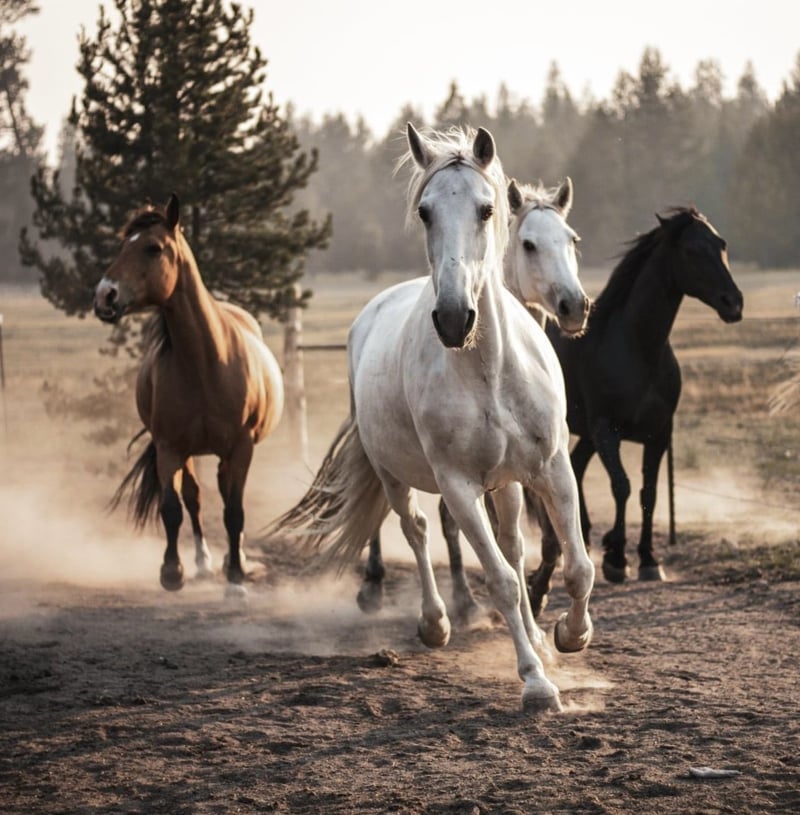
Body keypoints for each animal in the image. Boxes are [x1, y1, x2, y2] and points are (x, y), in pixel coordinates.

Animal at [93, 194, 284, 598]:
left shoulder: (241, 448)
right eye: (122, 244)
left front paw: (236, 580)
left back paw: (234, 559)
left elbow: (234, 512)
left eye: (152, 248)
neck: (206, 362)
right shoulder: (169, 447)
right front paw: (172, 571)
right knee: (195, 498)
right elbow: (173, 508)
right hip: (189, 453)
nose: (104, 295)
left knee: (227, 497)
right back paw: (203, 561)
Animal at [356, 176, 590, 624]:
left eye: (572, 239)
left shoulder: (528, 469)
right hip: (384, 460)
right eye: (529, 244)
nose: (575, 306)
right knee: (398, 518)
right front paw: (479, 600)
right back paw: (380, 589)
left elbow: (525, 538)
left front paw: (537, 598)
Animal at [527, 207, 743, 616]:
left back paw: (585, 536)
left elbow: (649, 492)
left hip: (585, 436)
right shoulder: (607, 430)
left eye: (722, 244)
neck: (636, 348)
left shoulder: (659, 434)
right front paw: (616, 558)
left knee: (577, 468)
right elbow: (622, 486)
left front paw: (647, 559)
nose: (733, 303)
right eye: (692, 250)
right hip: (585, 434)